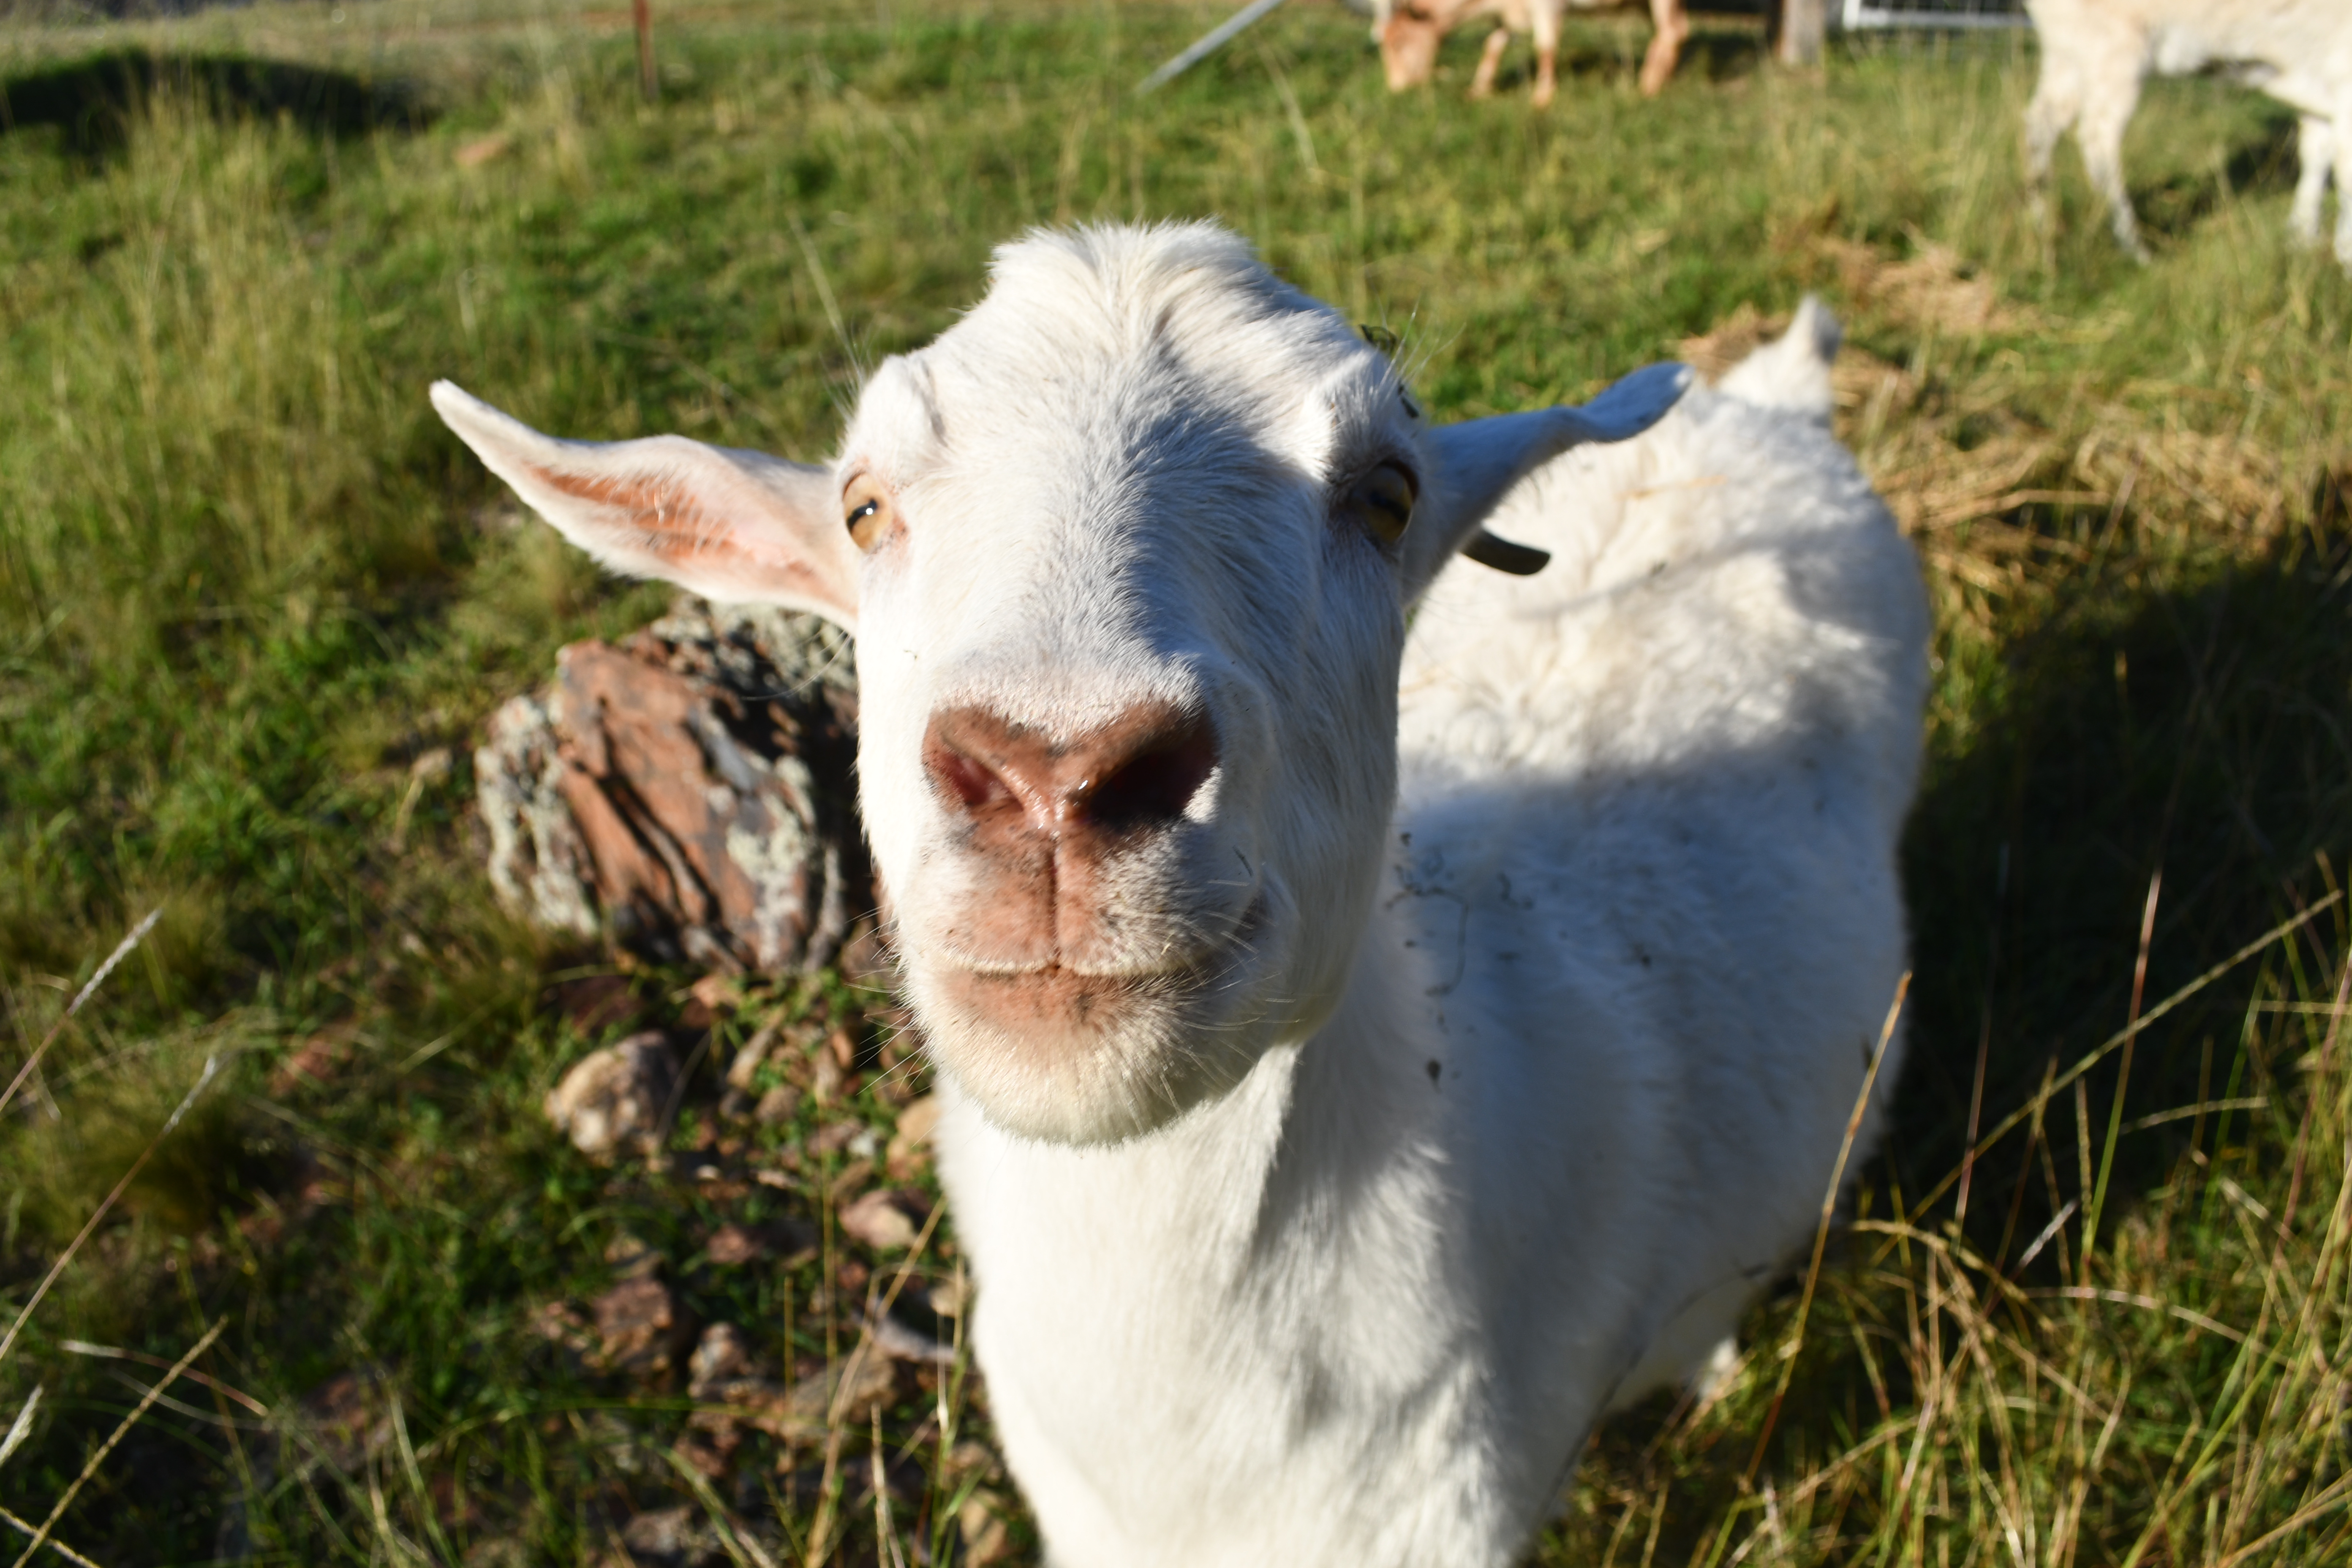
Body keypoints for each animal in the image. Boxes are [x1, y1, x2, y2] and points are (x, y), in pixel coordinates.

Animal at [1380, 0, 1691, 105]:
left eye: (1398, 42)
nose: (1396, 88)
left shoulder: (1548, 8)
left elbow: (1546, 48)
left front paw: (1542, 99)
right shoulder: (1507, 17)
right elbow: (1492, 47)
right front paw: (1479, 90)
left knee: (1675, 30)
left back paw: (1649, 86)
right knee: (1665, 33)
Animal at [2024, 0, 2351, 266]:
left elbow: (2316, 155)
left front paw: (2303, 241)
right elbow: (2344, 175)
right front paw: (2343, 257)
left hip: (2068, 50)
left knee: (2041, 123)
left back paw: (2042, 226)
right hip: (2112, 48)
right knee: (2097, 138)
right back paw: (2135, 250)